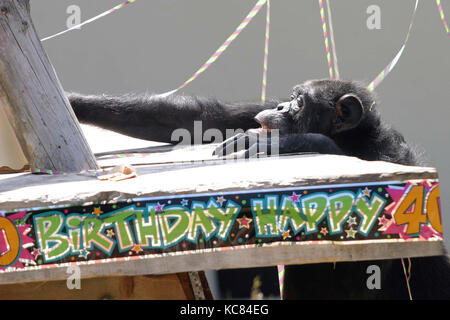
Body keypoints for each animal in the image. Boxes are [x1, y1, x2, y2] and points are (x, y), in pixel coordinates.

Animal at [68, 80, 450, 300]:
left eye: (300, 103)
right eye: (289, 98)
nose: (281, 107)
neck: (351, 139)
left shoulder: (391, 154)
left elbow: (395, 219)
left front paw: (276, 144)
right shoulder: (252, 112)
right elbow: (196, 118)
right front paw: (73, 102)